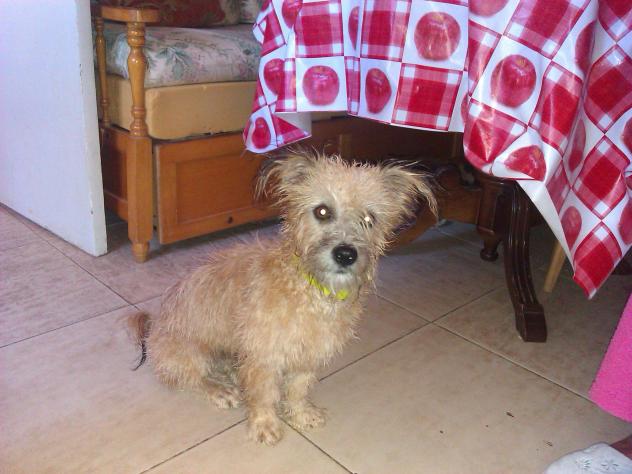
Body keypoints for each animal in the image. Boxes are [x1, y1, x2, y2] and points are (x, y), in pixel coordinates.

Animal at [129, 150, 436, 445]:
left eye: (369, 219)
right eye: (322, 211)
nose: (346, 254)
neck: (312, 292)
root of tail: (152, 327)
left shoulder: (308, 354)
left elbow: (298, 388)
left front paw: (300, 414)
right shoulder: (266, 355)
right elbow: (265, 394)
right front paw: (265, 424)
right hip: (193, 353)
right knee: (191, 378)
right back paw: (219, 389)